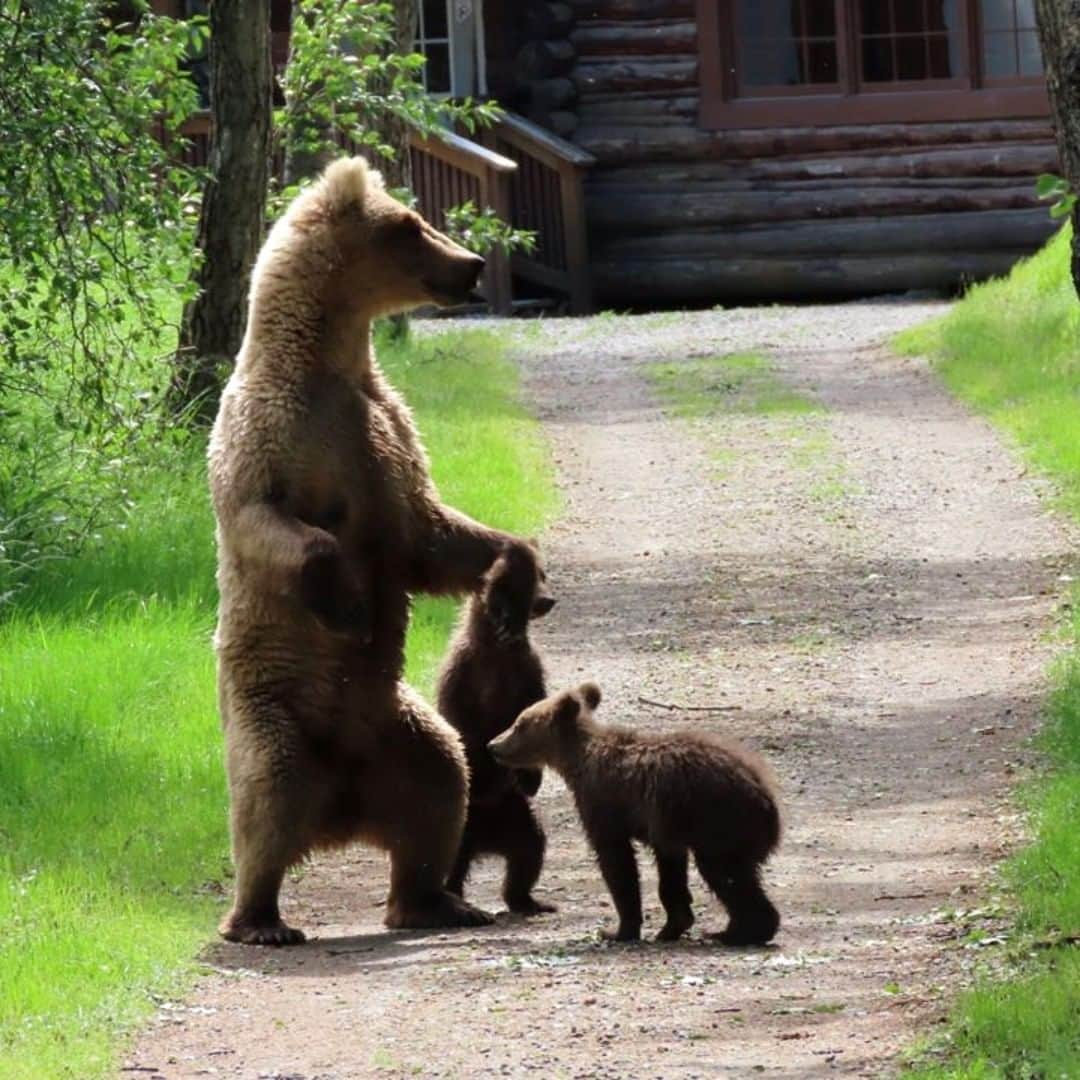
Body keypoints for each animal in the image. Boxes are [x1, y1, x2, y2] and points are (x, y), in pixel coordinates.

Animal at [207, 157, 527, 946]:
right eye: (410, 225)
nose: (472, 264)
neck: (329, 362)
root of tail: (342, 812)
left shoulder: (385, 432)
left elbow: (429, 534)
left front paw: (517, 577)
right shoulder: (271, 434)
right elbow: (269, 520)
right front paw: (348, 605)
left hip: (399, 729)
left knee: (440, 786)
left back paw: (436, 901)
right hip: (270, 712)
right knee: (267, 794)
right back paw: (259, 919)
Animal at [434, 544, 557, 915]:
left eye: (543, 574)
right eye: (532, 580)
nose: (550, 599)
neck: (497, 649)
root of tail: (484, 843)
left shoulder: (527, 670)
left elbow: (530, 709)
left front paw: (531, 773)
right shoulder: (463, 672)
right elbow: (461, 722)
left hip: (514, 815)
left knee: (529, 850)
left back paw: (528, 900)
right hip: (463, 823)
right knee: (451, 861)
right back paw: (454, 895)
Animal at [486, 686, 781, 941]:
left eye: (519, 724)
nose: (493, 745)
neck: (576, 762)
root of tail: (767, 798)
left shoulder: (603, 804)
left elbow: (617, 862)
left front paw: (618, 930)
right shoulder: (666, 827)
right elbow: (670, 871)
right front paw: (672, 925)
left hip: (719, 820)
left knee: (725, 873)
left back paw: (739, 933)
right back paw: (732, 929)